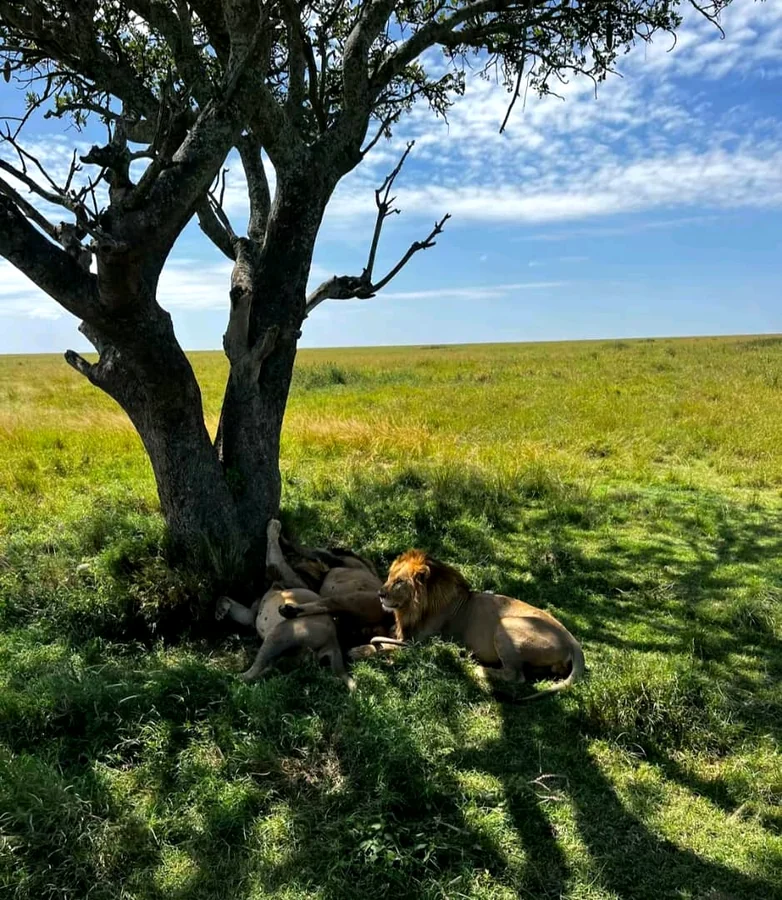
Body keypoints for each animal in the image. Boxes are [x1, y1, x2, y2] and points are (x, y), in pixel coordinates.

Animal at [348, 549, 585, 700]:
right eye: (389, 577)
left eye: (399, 582)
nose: (380, 593)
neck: (414, 607)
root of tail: (573, 641)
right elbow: (382, 637)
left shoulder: (420, 644)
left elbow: (385, 647)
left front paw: (358, 650)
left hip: (505, 625)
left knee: (515, 675)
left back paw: (472, 666)